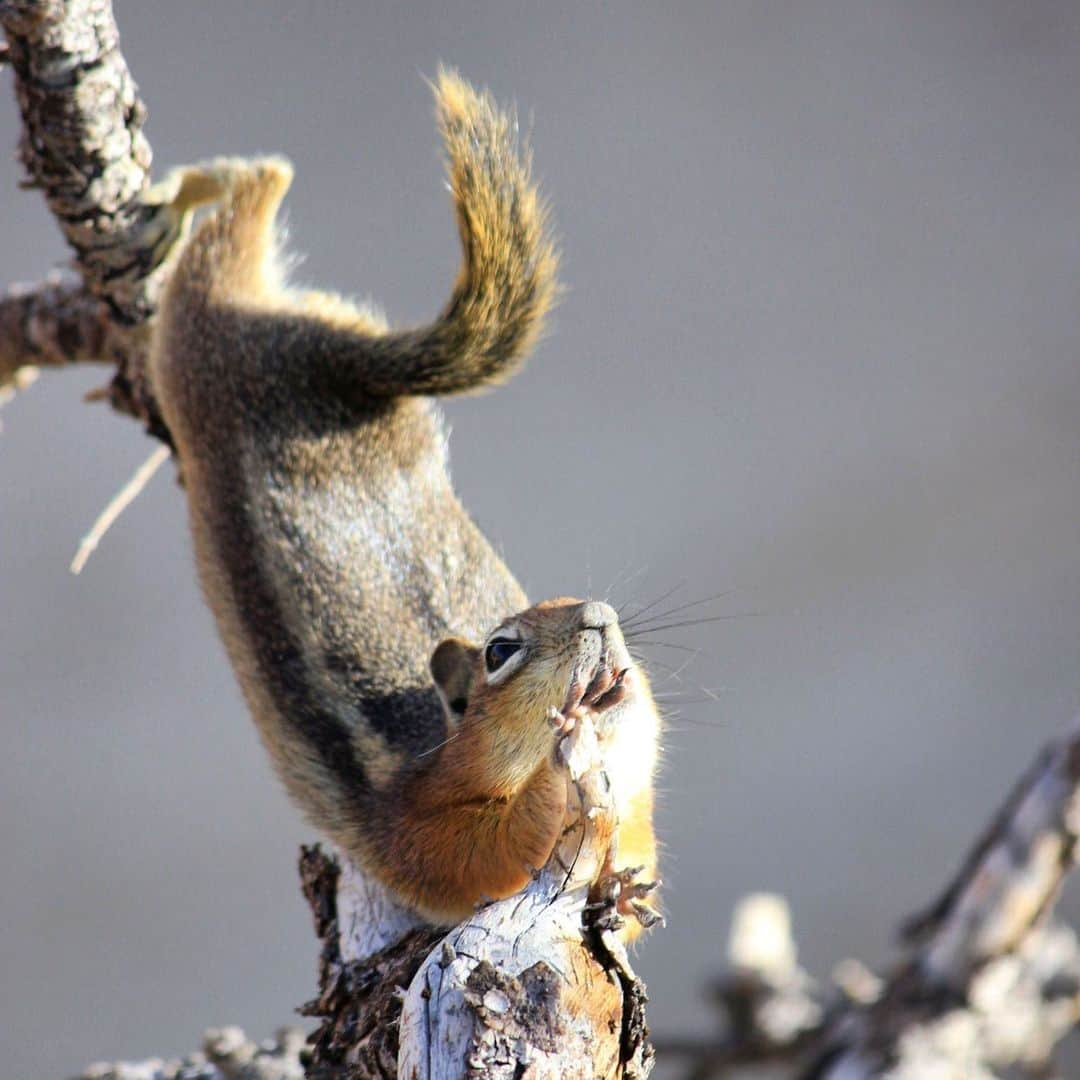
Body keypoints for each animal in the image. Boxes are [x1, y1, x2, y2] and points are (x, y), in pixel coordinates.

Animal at [145, 71, 656, 937]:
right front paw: (560, 767)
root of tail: (321, 362)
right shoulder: (427, 829)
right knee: (228, 232)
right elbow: (494, 848)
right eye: (500, 649)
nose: (599, 617)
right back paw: (199, 184)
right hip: (186, 354)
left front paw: (621, 891)